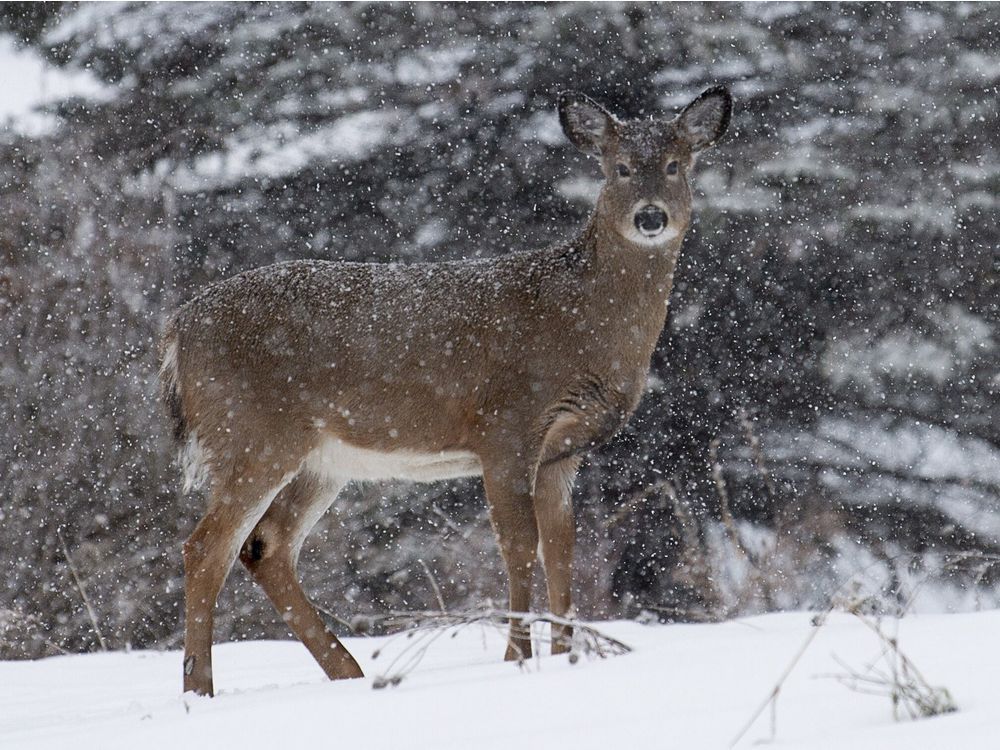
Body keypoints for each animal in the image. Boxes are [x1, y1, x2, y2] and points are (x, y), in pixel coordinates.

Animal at [160, 88, 732, 700]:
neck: (580, 320)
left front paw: (567, 655)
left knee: (265, 548)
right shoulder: (506, 425)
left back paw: (348, 673)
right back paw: (199, 689)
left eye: (676, 165)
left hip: (321, 460)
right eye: (618, 168)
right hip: (252, 434)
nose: (651, 216)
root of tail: (177, 328)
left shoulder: (563, 447)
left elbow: (562, 547)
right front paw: (517, 658)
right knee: (206, 547)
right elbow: (519, 544)